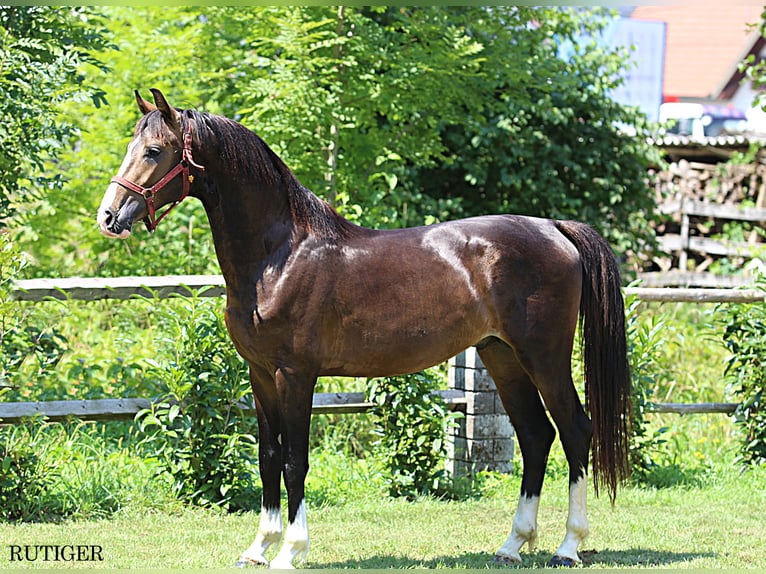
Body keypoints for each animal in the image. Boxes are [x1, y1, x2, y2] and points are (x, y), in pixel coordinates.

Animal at [97, 90, 636, 572]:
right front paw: (258, 548)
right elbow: (269, 457)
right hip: (500, 355)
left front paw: (290, 552)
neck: (279, 255)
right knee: (535, 435)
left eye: (154, 150)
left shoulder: (296, 375)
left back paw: (568, 547)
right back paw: (511, 545)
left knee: (575, 430)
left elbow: (294, 461)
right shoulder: (260, 373)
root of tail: (554, 227)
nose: (109, 216)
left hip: (543, 355)